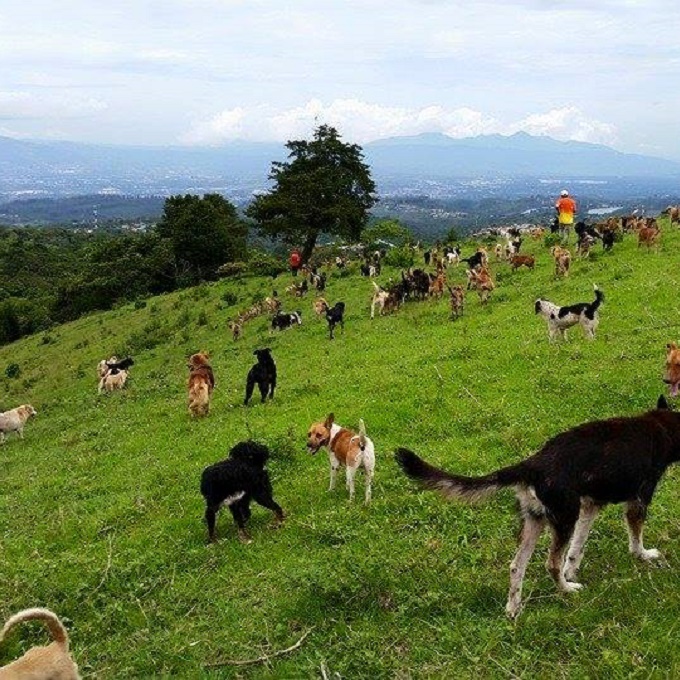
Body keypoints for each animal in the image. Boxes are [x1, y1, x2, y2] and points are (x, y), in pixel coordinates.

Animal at [396, 396, 680, 620]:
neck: (661, 426)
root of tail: (534, 464)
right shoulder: (637, 502)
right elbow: (635, 540)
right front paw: (644, 556)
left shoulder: (590, 507)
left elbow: (576, 549)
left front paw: (571, 572)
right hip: (563, 519)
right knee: (550, 564)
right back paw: (566, 591)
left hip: (538, 520)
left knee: (516, 565)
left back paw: (514, 609)